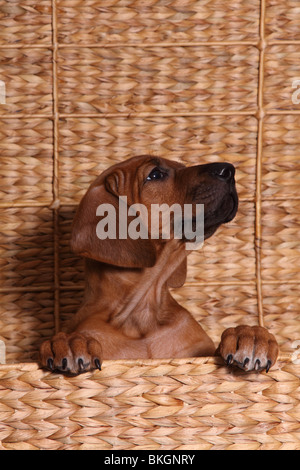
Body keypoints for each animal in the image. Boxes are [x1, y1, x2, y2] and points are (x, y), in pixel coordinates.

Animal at [39, 156, 278, 376]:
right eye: (155, 174)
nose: (229, 170)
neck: (141, 314)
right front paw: (69, 342)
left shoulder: (199, 352)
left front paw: (249, 335)